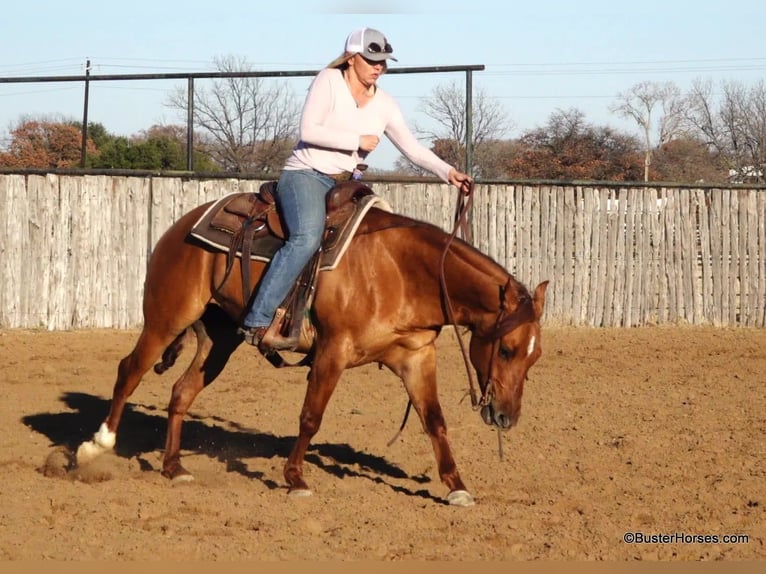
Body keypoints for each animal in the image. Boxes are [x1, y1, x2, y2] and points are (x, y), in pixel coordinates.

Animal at [76, 180, 548, 507]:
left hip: (219, 339)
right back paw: (96, 446)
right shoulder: (333, 351)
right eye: (507, 349)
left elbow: (435, 422)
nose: (506, 418)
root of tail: (181, 226)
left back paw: (174, 467)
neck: (399, 269)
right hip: (166, 318)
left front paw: (456, 486)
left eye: (534, 357)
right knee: (129, 371)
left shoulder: (417, 357)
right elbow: (310, 418)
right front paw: (295, 478)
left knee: (181, 392)